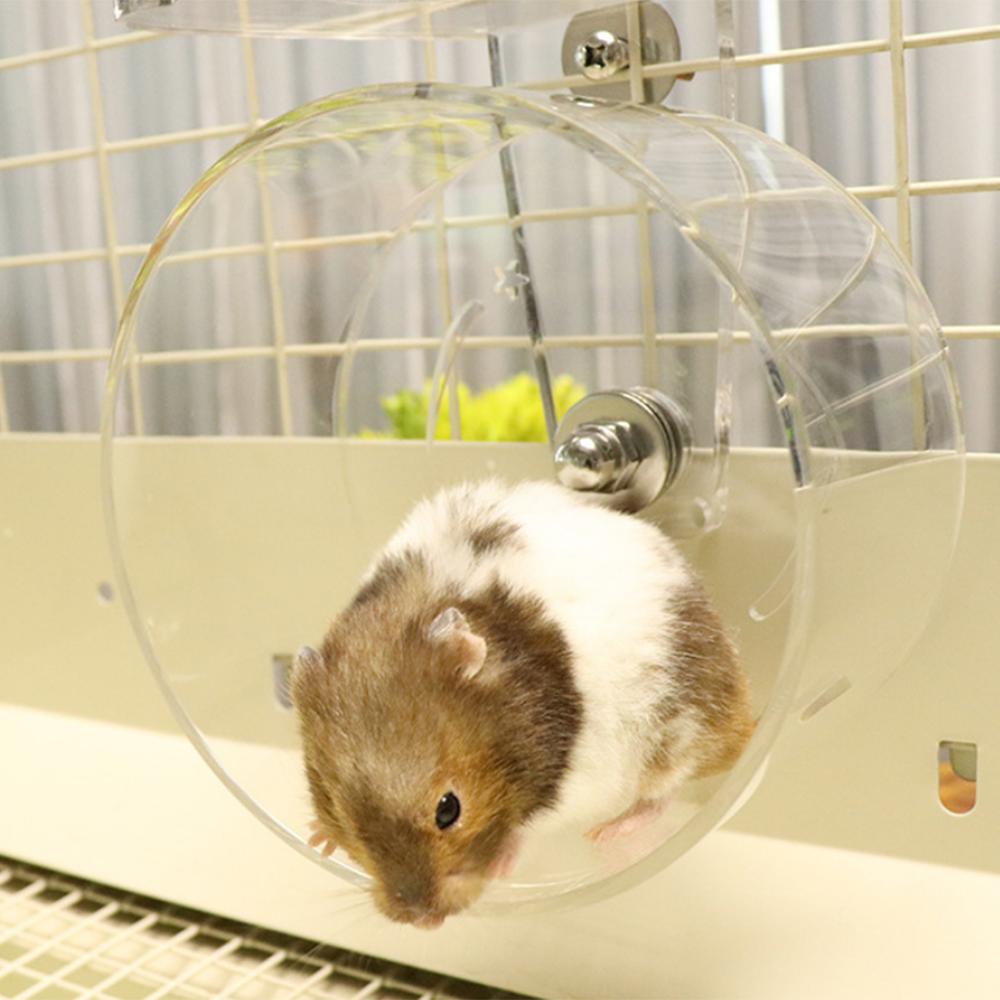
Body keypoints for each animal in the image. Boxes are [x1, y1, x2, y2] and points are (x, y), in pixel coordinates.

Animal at [292, 479, 753, 928]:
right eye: (345, 816)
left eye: (449, 809)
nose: (423, 921)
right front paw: (318, 837)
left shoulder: (577, 781)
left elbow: (531, 827)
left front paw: (502, 864)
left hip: (675, 734)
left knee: (662, 794)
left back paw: (608, 833)